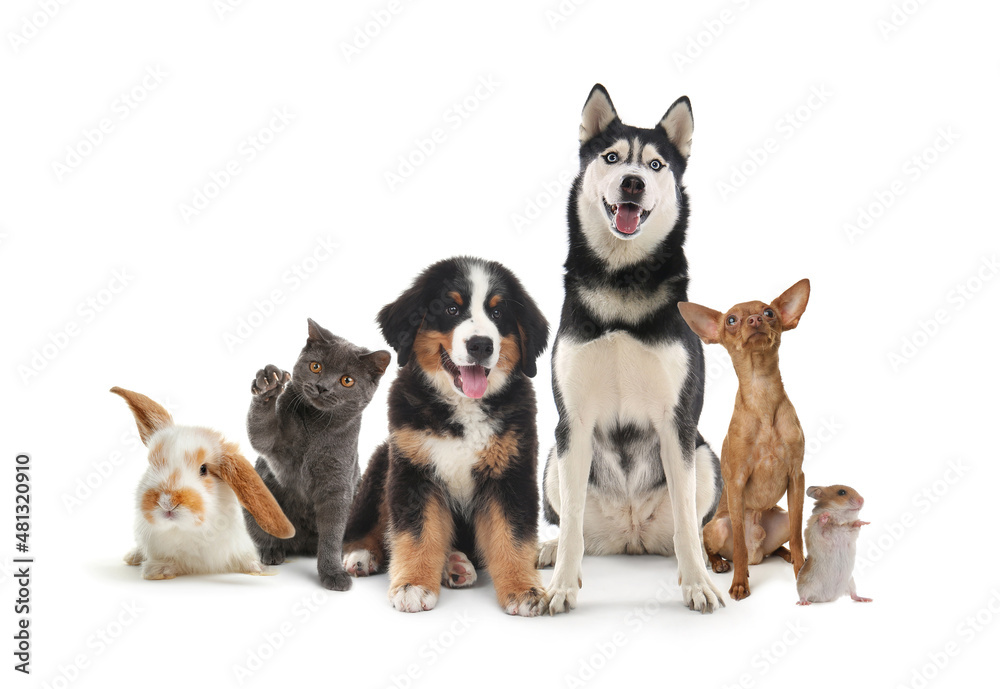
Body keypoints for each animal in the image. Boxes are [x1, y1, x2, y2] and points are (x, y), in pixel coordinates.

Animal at [246, 320, 390, 588]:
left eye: (347, 380)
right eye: (316, 366)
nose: (322, 387)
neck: (316, 426)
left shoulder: (338, 484)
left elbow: (331, 536)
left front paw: (333, 573)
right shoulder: (273, 445)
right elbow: (260, 433)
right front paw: (268, 384)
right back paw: (271, 551)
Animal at [342, 255, 548, 616]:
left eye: (498, 313)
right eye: (451, 309)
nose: (481, 345)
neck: (463, 409)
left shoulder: (511, 472)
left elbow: (512, 536)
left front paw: (524, 588)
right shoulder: (413, 471)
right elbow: (417, 533)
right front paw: (412, 584)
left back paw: (455, 565)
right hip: (382, 462)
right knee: (364, 526)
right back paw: (363, 555)